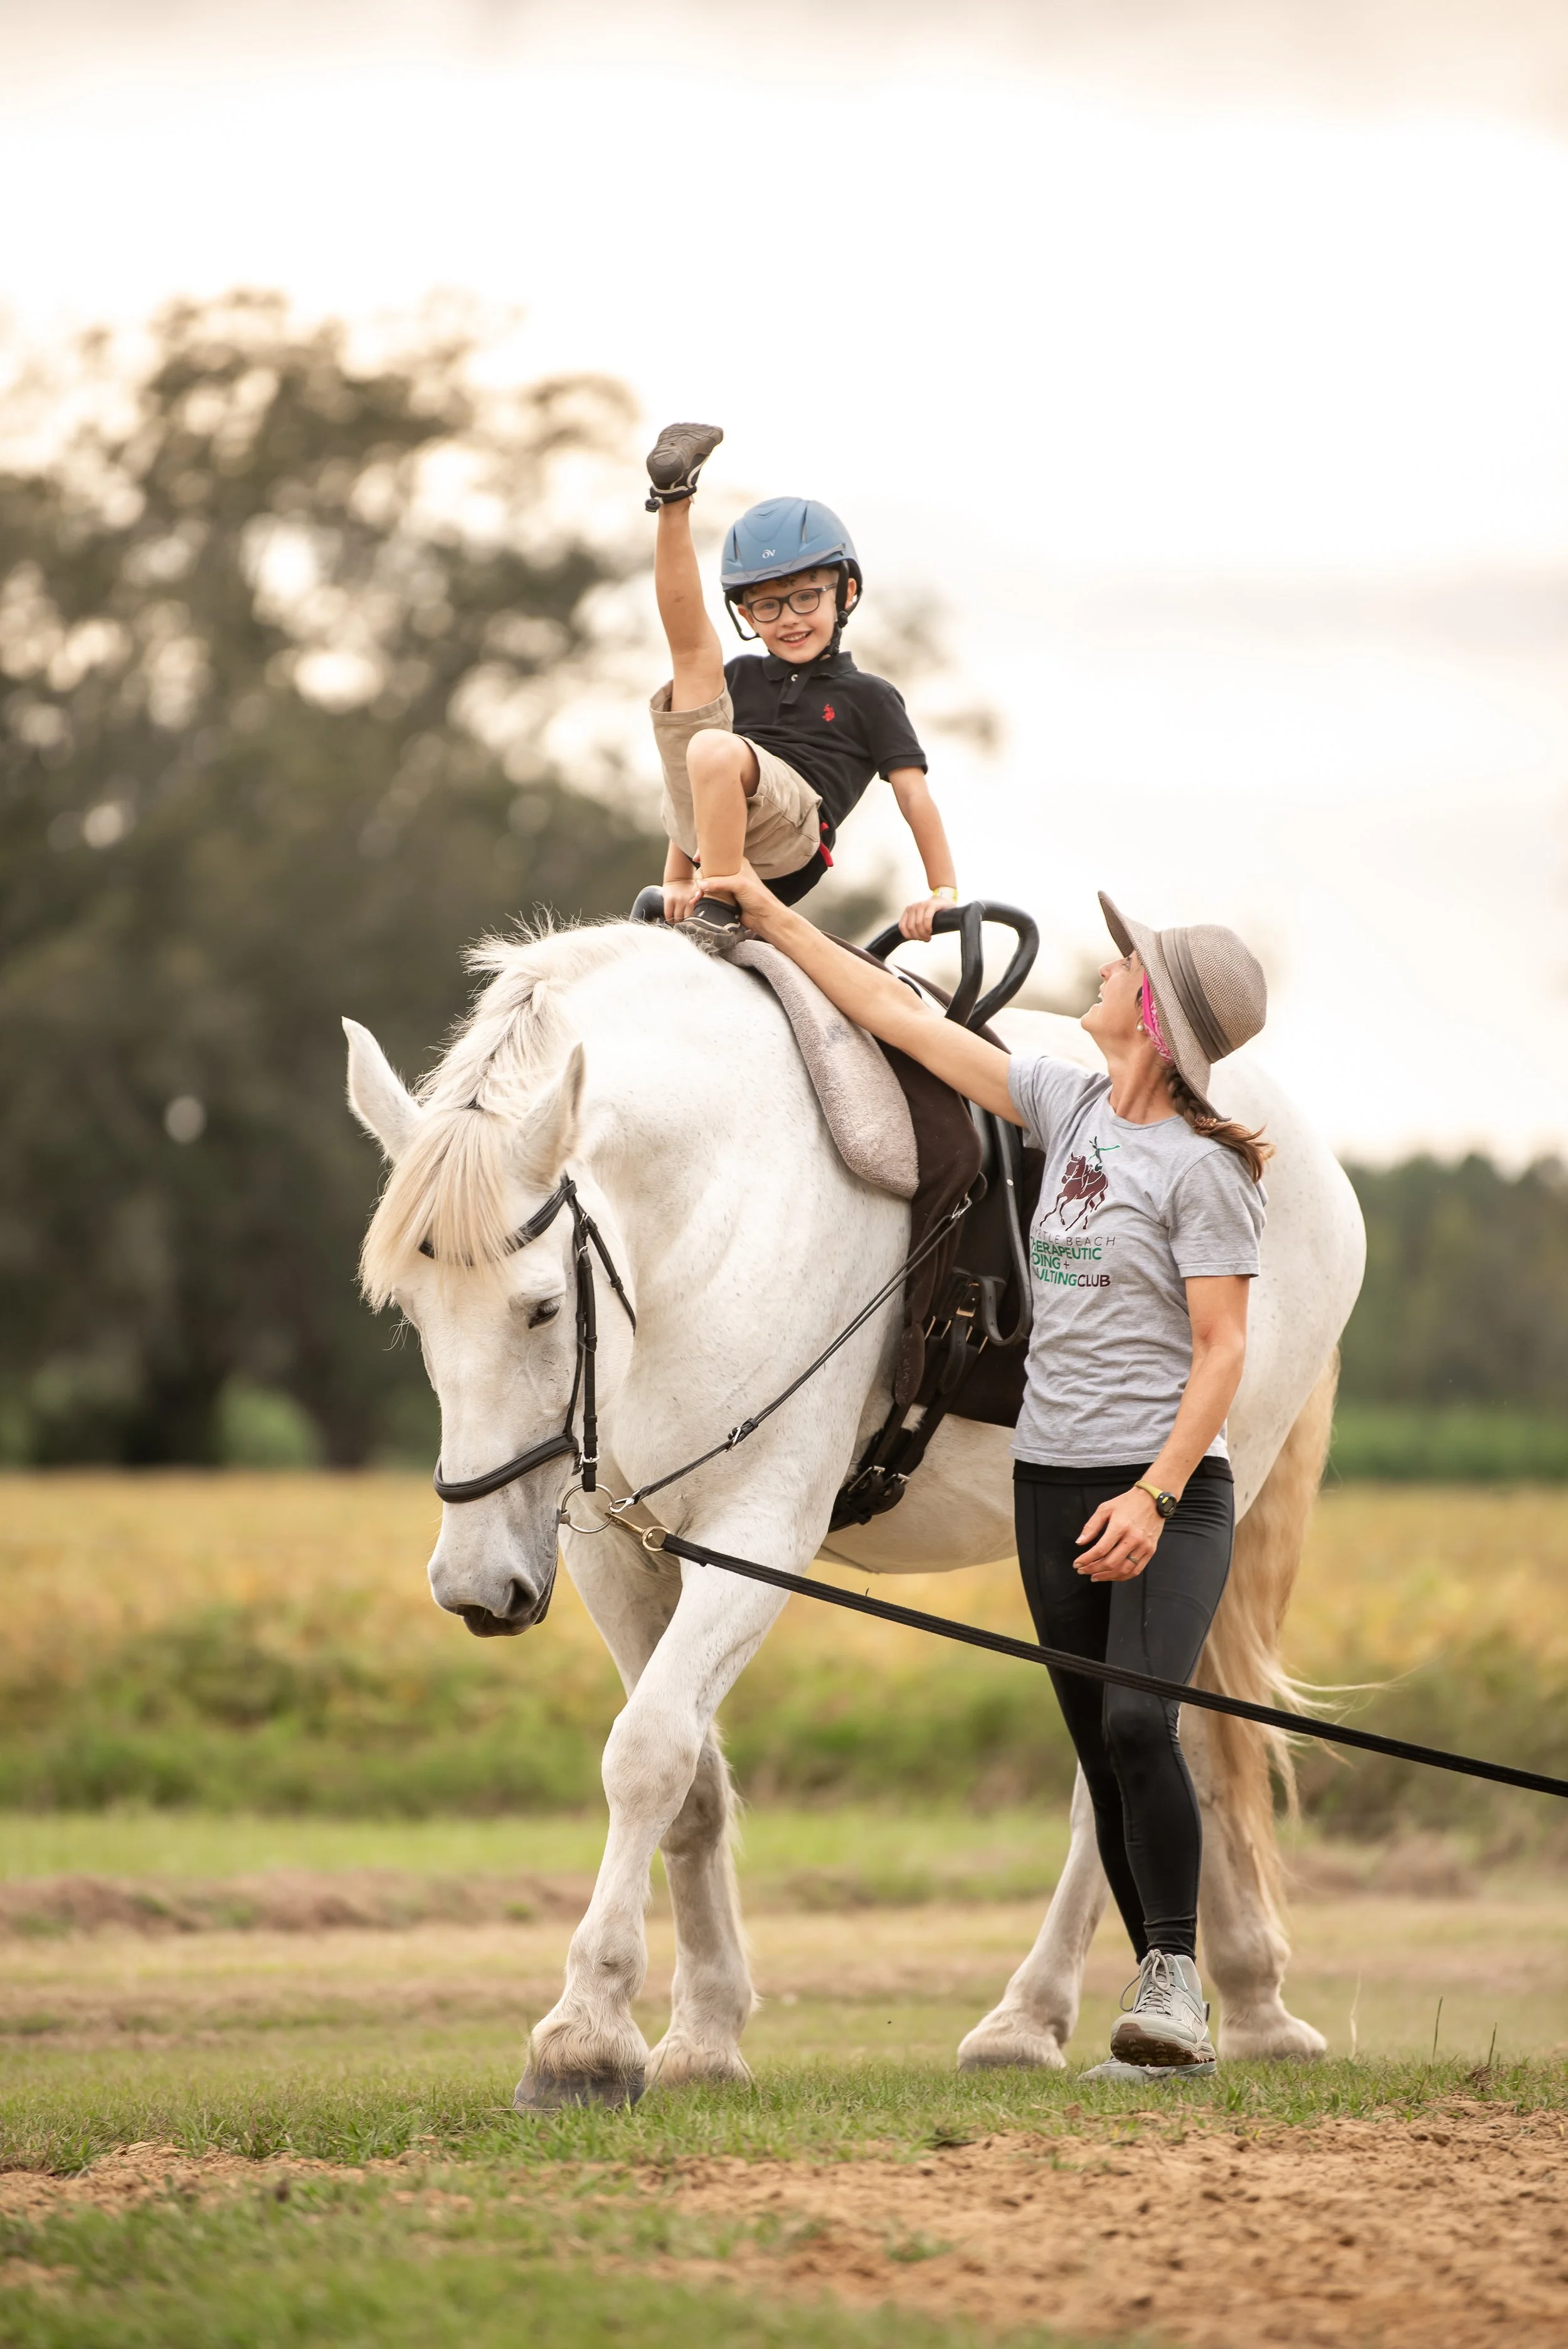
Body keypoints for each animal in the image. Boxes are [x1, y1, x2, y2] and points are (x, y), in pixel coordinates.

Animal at [345, 918, 1365, 2107]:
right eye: (411, 1311)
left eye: (542, 1308)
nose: (474, 1587)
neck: (712, 1204)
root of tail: (1287, 1144)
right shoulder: (617, 1549)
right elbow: (691, 1779)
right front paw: (702, 2034)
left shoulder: (757, 1535)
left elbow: (646, 1752)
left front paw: (582, 2036)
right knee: (1189, 1740)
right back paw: (1249, 2005)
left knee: (1128, 1759)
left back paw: (1035, 2015)